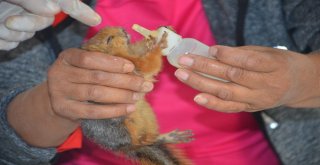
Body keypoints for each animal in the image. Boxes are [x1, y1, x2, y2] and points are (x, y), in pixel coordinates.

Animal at [81, 26, 194, 164]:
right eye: (109, 39)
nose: (123, 30)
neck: (114, 54)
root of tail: (125, 148)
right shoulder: (132, 65)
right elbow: (147, 65)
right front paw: (159, 44)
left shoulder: (132, 52)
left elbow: (139, 49)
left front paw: (154, 37)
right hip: (128, 128)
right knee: (142, 141)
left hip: (146, 114)